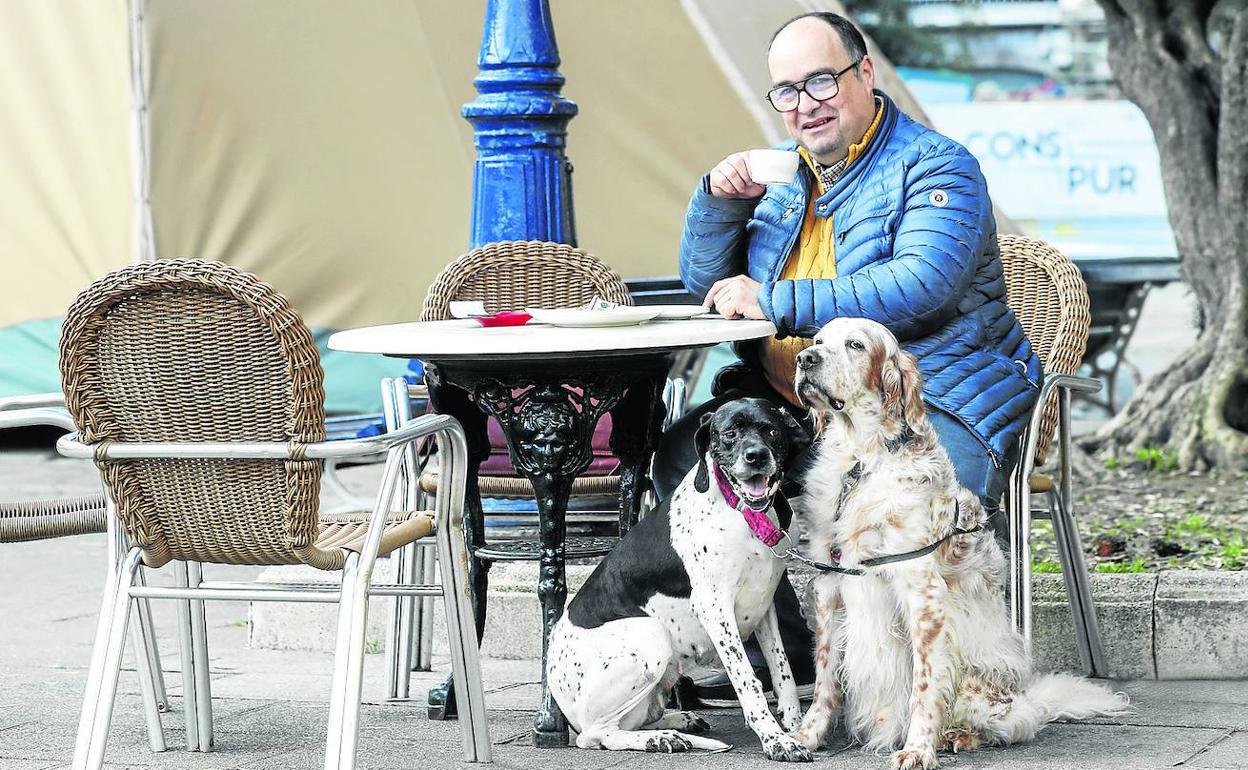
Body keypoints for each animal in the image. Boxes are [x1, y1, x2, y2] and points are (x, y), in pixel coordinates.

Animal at [544, 399, 813, 758]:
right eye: (729, 433)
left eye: (771, 430)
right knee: (597, 734)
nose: (756, 456)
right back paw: (659, 738)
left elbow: (783, 672)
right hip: (650, 635)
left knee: (636, 719)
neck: (742, 513)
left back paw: (676, 724)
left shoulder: (764, 605)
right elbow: (748, 681)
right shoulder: (715, 609)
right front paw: (775, 739)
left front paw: (796, 726)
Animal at [788, 315, 1133, 763]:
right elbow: (825, 675)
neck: (861, 460)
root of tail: (1030, 696)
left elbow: (924, 684)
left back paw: (957, 736)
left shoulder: (921, 592)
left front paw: (917, 749)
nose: (805, 360)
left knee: (1014, 723)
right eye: (817, 340)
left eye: (855, 345)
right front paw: (804, 736)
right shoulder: (830, 584)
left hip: (987, 689)